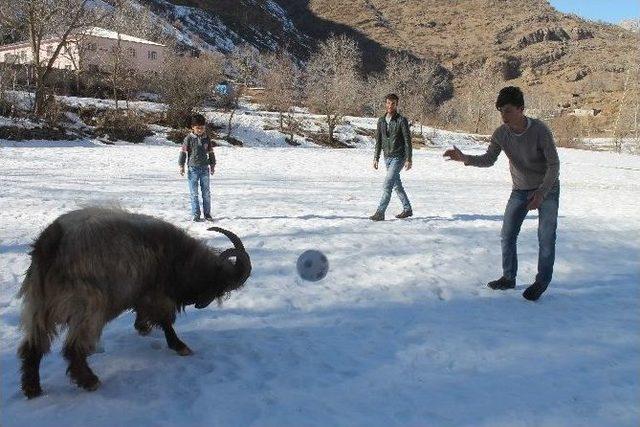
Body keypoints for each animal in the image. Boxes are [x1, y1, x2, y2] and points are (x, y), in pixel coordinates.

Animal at [17, 209, 252, 400]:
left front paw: (143, 328)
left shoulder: (142, 294)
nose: (199, 303)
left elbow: (143, 314)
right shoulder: (156, 294)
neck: (177, 256)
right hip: (87, 309)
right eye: (219, 287)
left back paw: (32, 388)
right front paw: (180, 346)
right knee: (73, 348)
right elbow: (166, 322)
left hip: (39, 308)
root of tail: (50, 243)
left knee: (33, 346)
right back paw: (90, 381)